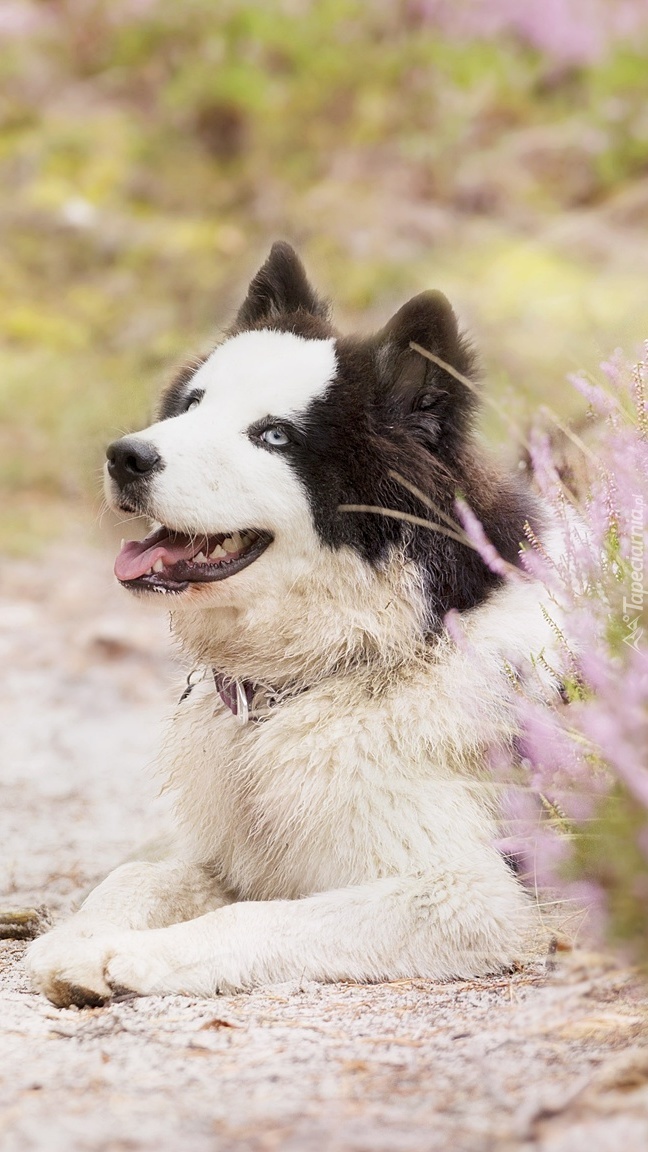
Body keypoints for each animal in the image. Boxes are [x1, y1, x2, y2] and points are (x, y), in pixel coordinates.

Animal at [27, 245, 558, 1009]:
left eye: (274, 436)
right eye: (192, 405)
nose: (126, 456)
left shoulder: (475, 895)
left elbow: (256, 914)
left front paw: (130, 954)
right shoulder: (238, 854)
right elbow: (140, 873)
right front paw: (73, 938)